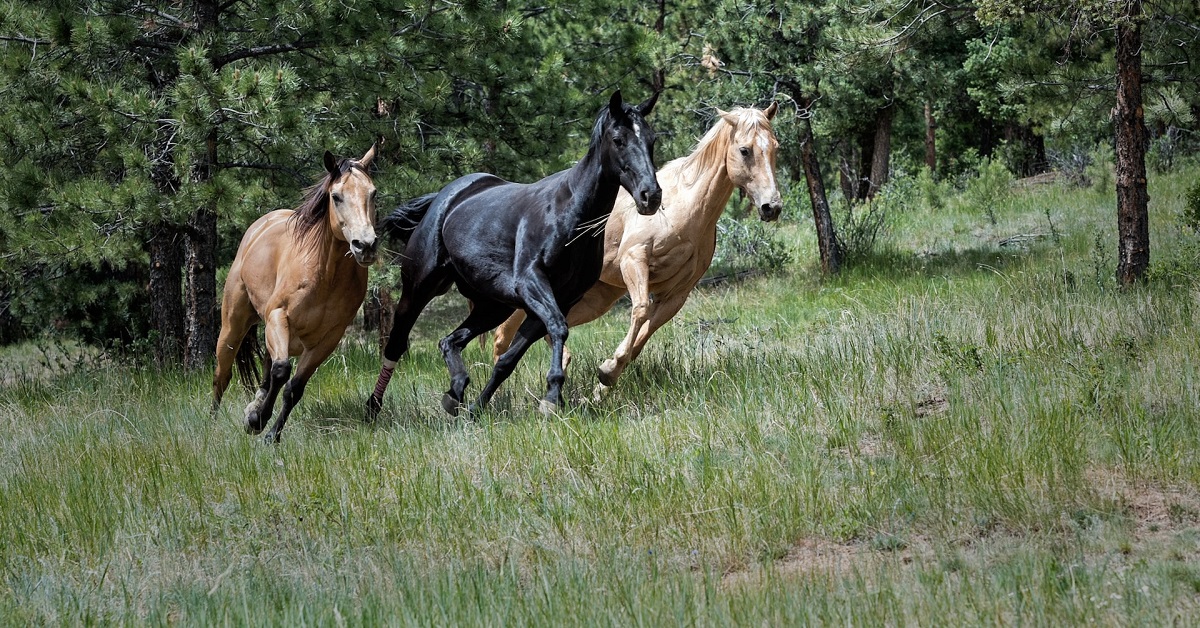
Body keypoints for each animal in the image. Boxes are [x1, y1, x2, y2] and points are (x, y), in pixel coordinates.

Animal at [367, 89, 667, 417]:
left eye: (650, 139)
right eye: (618, 139)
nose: (650, 196)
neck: (569, 214)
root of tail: (445, 197)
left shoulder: (559, 299)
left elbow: (508, 360)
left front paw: (477, 408)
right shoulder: (531, 283)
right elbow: (558, 328)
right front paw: (551, 397)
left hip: (493, 306)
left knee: (450, 341)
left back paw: (455, 393)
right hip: (419, 288)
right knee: (396, 344)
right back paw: (373, 406)